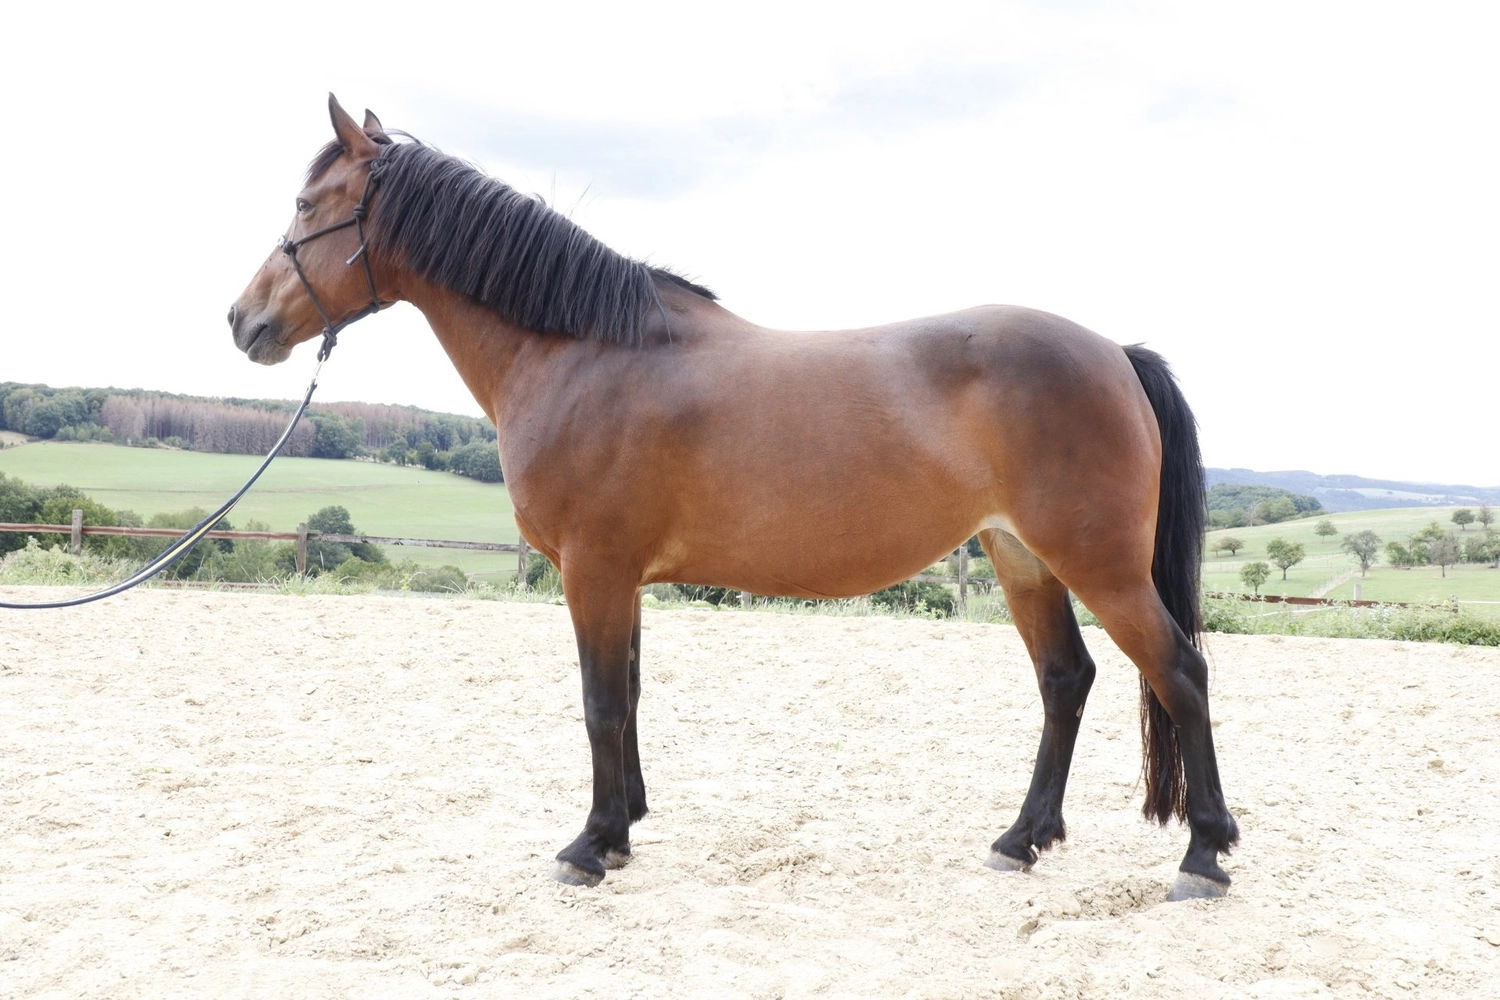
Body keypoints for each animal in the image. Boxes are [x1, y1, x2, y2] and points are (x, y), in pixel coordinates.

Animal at [229, 96, 1238, 901]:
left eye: (308, 205)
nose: (243, 321)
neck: (583, 351)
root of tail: (1114, 353)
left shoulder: (594, 569)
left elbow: (601, 700)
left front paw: (589, 845)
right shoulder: (620, 576)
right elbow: (629, 693)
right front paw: (624, 828)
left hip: (1098, 564)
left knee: (1180, 672)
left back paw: (1204, 856)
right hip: (1022, 556)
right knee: (1066, 680)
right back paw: (1022, 839)